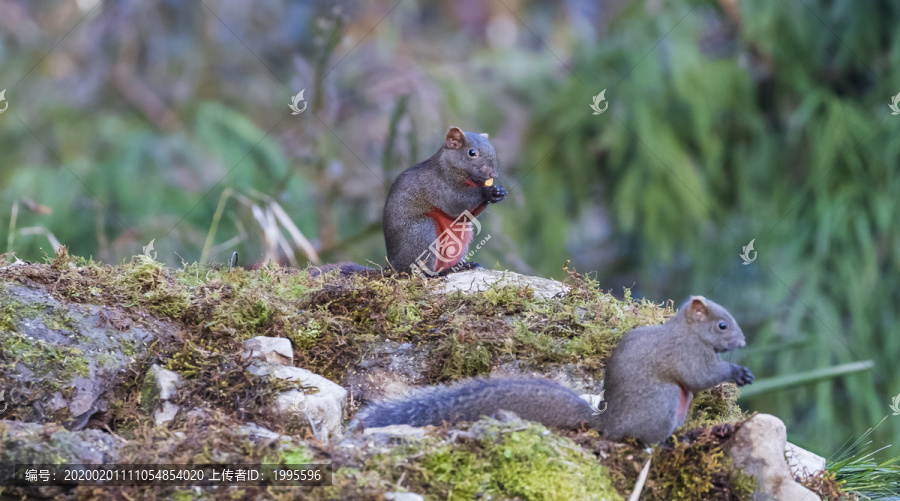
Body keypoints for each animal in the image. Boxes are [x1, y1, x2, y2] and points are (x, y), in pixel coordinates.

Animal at [352, 294, 752, 444]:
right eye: (722, 325)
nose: (744, 341)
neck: (686, 332)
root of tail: (604, 424)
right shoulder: (686, 355)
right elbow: (701, 377)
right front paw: (737, 372)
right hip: (663, 403)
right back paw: (670, 440)